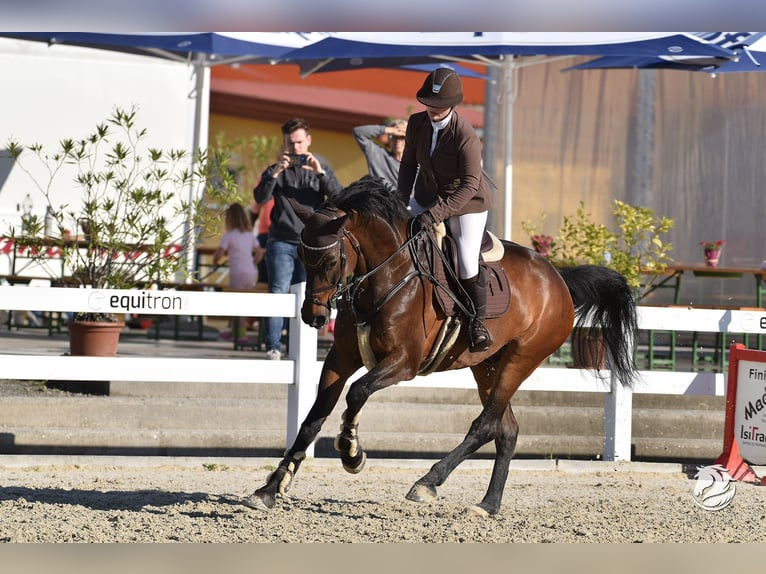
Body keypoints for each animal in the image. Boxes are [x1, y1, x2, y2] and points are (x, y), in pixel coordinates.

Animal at [246, 177, 640, 516]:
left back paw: (427, 482)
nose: (312, 316)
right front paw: (270, 489)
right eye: (300, 255)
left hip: (520, 359)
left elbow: (357, 392)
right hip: (487, 366)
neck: (385, 276)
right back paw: (487, 505)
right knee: (506, 429)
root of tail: (557, 277)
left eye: (330, 260)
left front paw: (351, 452)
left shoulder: (403, 362)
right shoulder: (341, 357)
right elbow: (312, 419)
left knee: (484, 425)